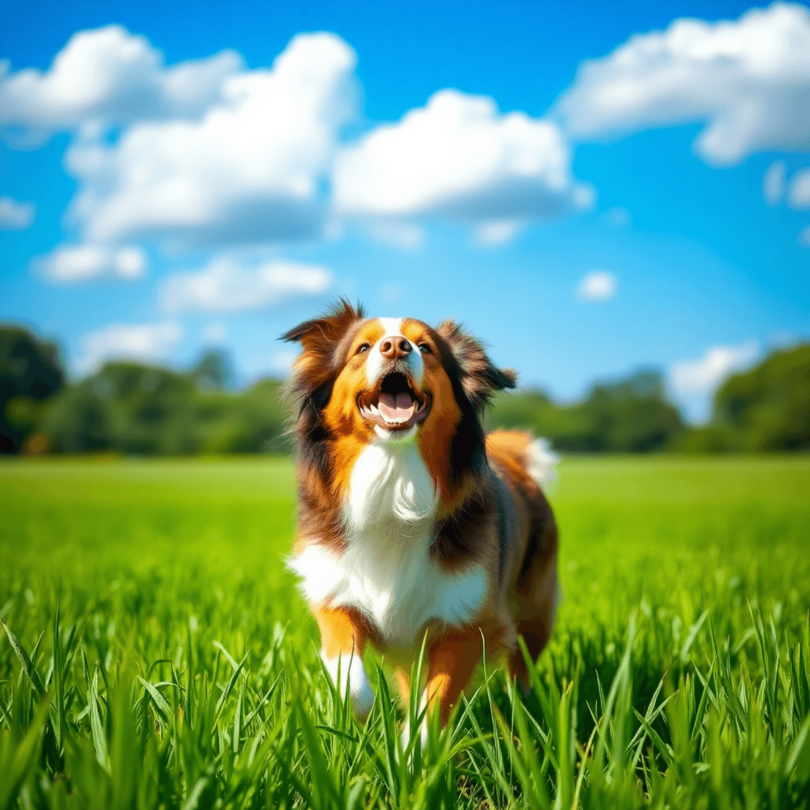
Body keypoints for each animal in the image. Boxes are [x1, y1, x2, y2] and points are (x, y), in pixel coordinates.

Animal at [282, 300, 556, 728]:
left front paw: (414, 745)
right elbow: (347, 669)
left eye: (425, 347)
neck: (394, 481)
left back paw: (525, 713)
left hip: (534, 610)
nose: (396, 346)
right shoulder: (333, 585)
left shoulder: (467, 620)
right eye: (363, 348)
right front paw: (364, 714)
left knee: (522, 666)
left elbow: (435, 704)